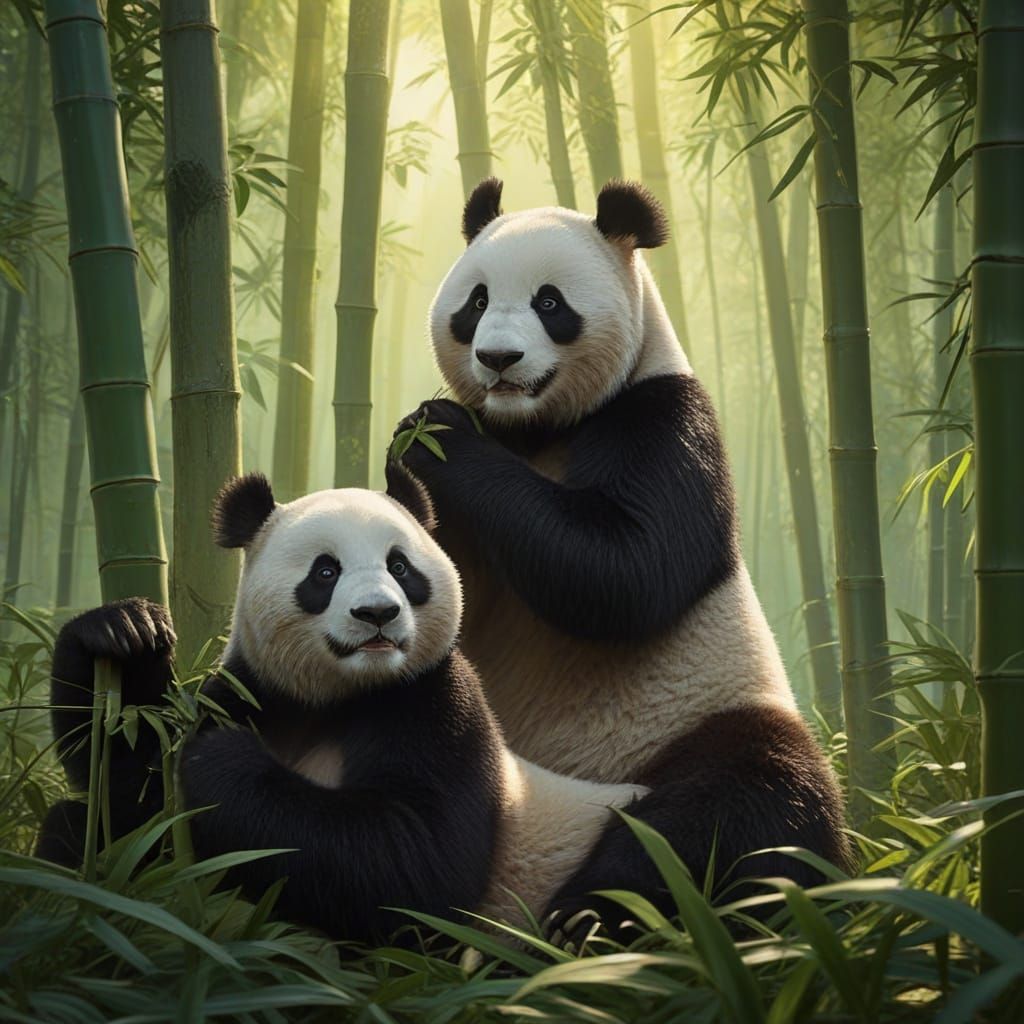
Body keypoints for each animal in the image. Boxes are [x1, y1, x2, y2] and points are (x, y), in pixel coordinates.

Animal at [39, 467, 644, 942]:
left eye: (400, 567)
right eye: (325, 571)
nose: (377, 613)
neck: (340, 694)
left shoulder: (435, 701)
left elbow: (415, 864)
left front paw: (219, 758)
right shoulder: (253, 690)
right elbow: (132, 791)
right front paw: (124, 631)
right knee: (83, 830)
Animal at [392, 178, 851, 928]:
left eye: (550, 304)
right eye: (477, 302)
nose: (498, 360)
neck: (532, 432)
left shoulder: (663, 415)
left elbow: (621, 572)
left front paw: (437, 433)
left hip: (703, 723)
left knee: (738, 808)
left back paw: (590, 918)